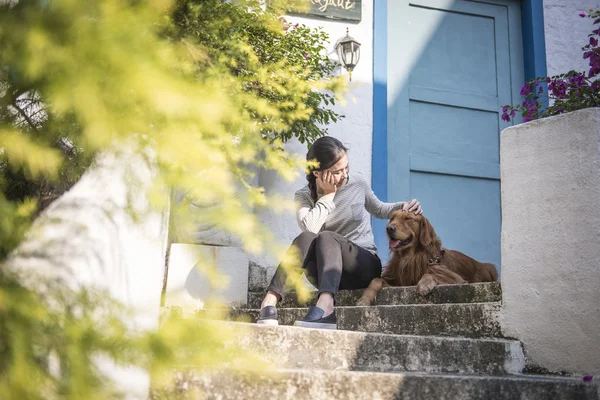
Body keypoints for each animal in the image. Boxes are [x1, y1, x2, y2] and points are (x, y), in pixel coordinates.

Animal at [356, 209, 496, 306]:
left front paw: (424, 285)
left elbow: (430, 273)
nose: (389, 228)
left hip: (489, 267)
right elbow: (376, 280)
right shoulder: (397, 280)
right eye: (392, 218)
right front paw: (365, 299)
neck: (410, 256)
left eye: (407, 218)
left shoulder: (454, 277)